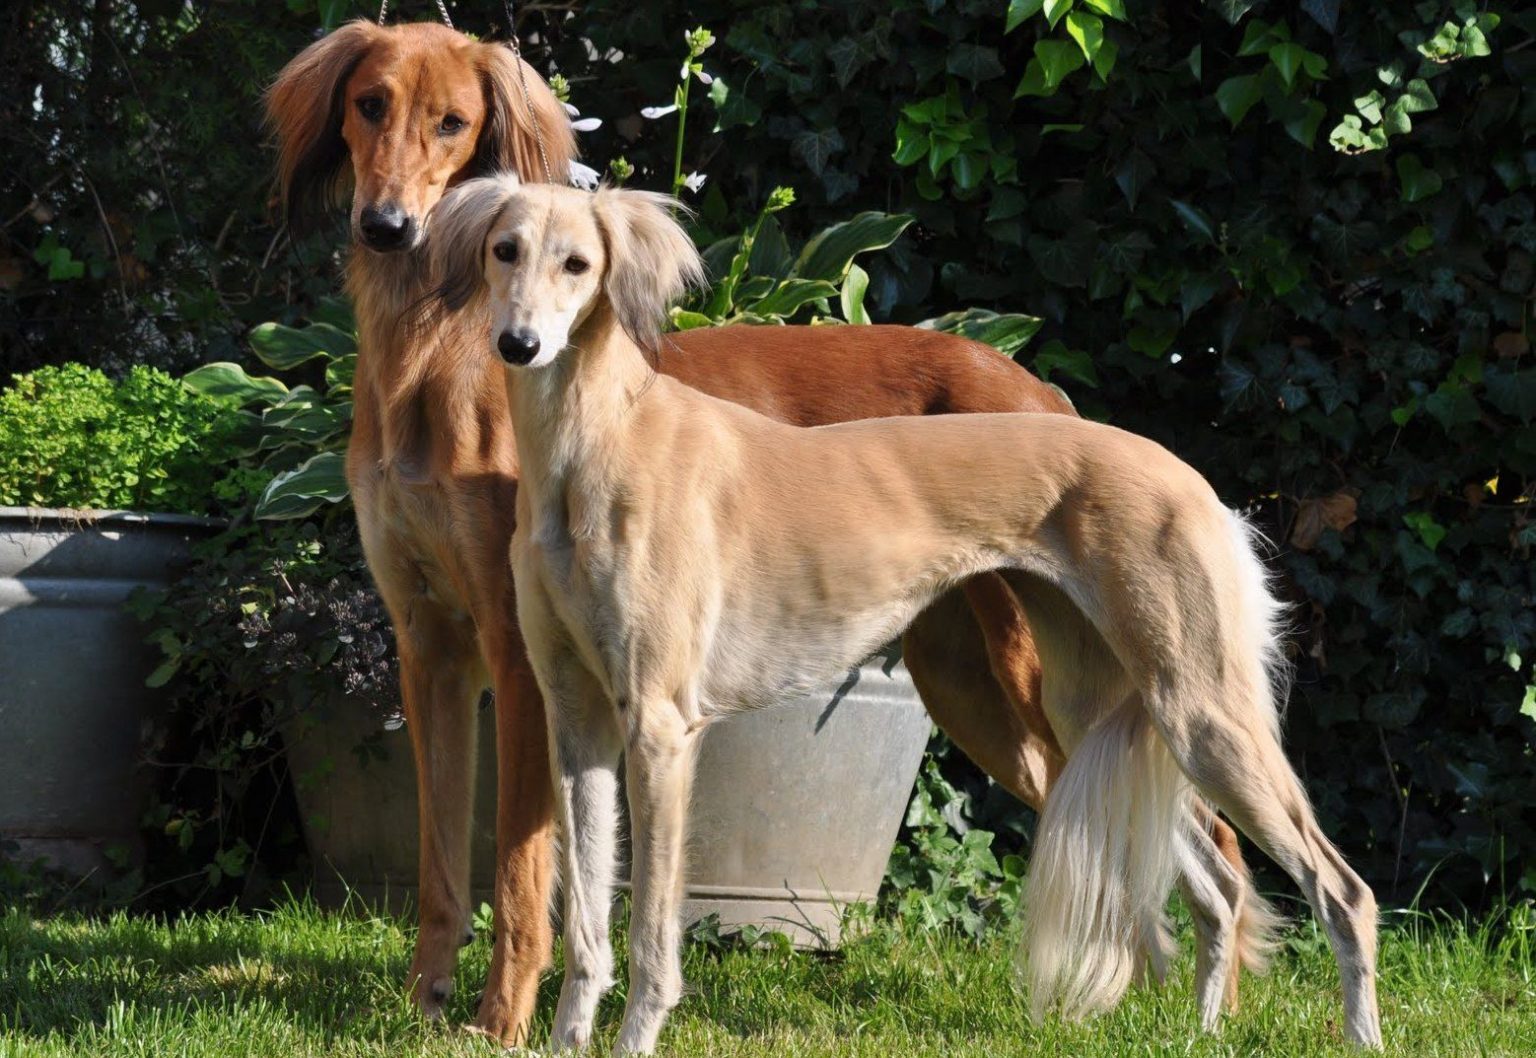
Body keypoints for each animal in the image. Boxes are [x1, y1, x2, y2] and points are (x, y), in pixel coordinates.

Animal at [267, 18, 1271, 1050]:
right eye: (369, 104)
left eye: (454, 122)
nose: (388, 228)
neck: (435, 363)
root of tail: (1039, 388)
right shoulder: (428, 641)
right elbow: (440, 863)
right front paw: (426, 1001)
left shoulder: (521, 658)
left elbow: (520, 872)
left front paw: (501, 1018)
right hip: (984, 683)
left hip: (1058, 679)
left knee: (1214, 836)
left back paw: (1214, 1008)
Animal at [427, 173, 1388, 1050]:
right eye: (505, 250)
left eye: (579, 264)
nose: (520, 343)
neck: (598, 441)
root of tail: (1188, 477)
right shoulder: (579, 718)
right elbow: (587, 925)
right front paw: (566, 1041)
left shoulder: (660, 727)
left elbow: (649, 934)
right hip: (1106, 707)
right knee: (1221, 888)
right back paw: (1202, 1034)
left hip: (1196, 709)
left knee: (1344, 889)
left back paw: (1360, 1032)